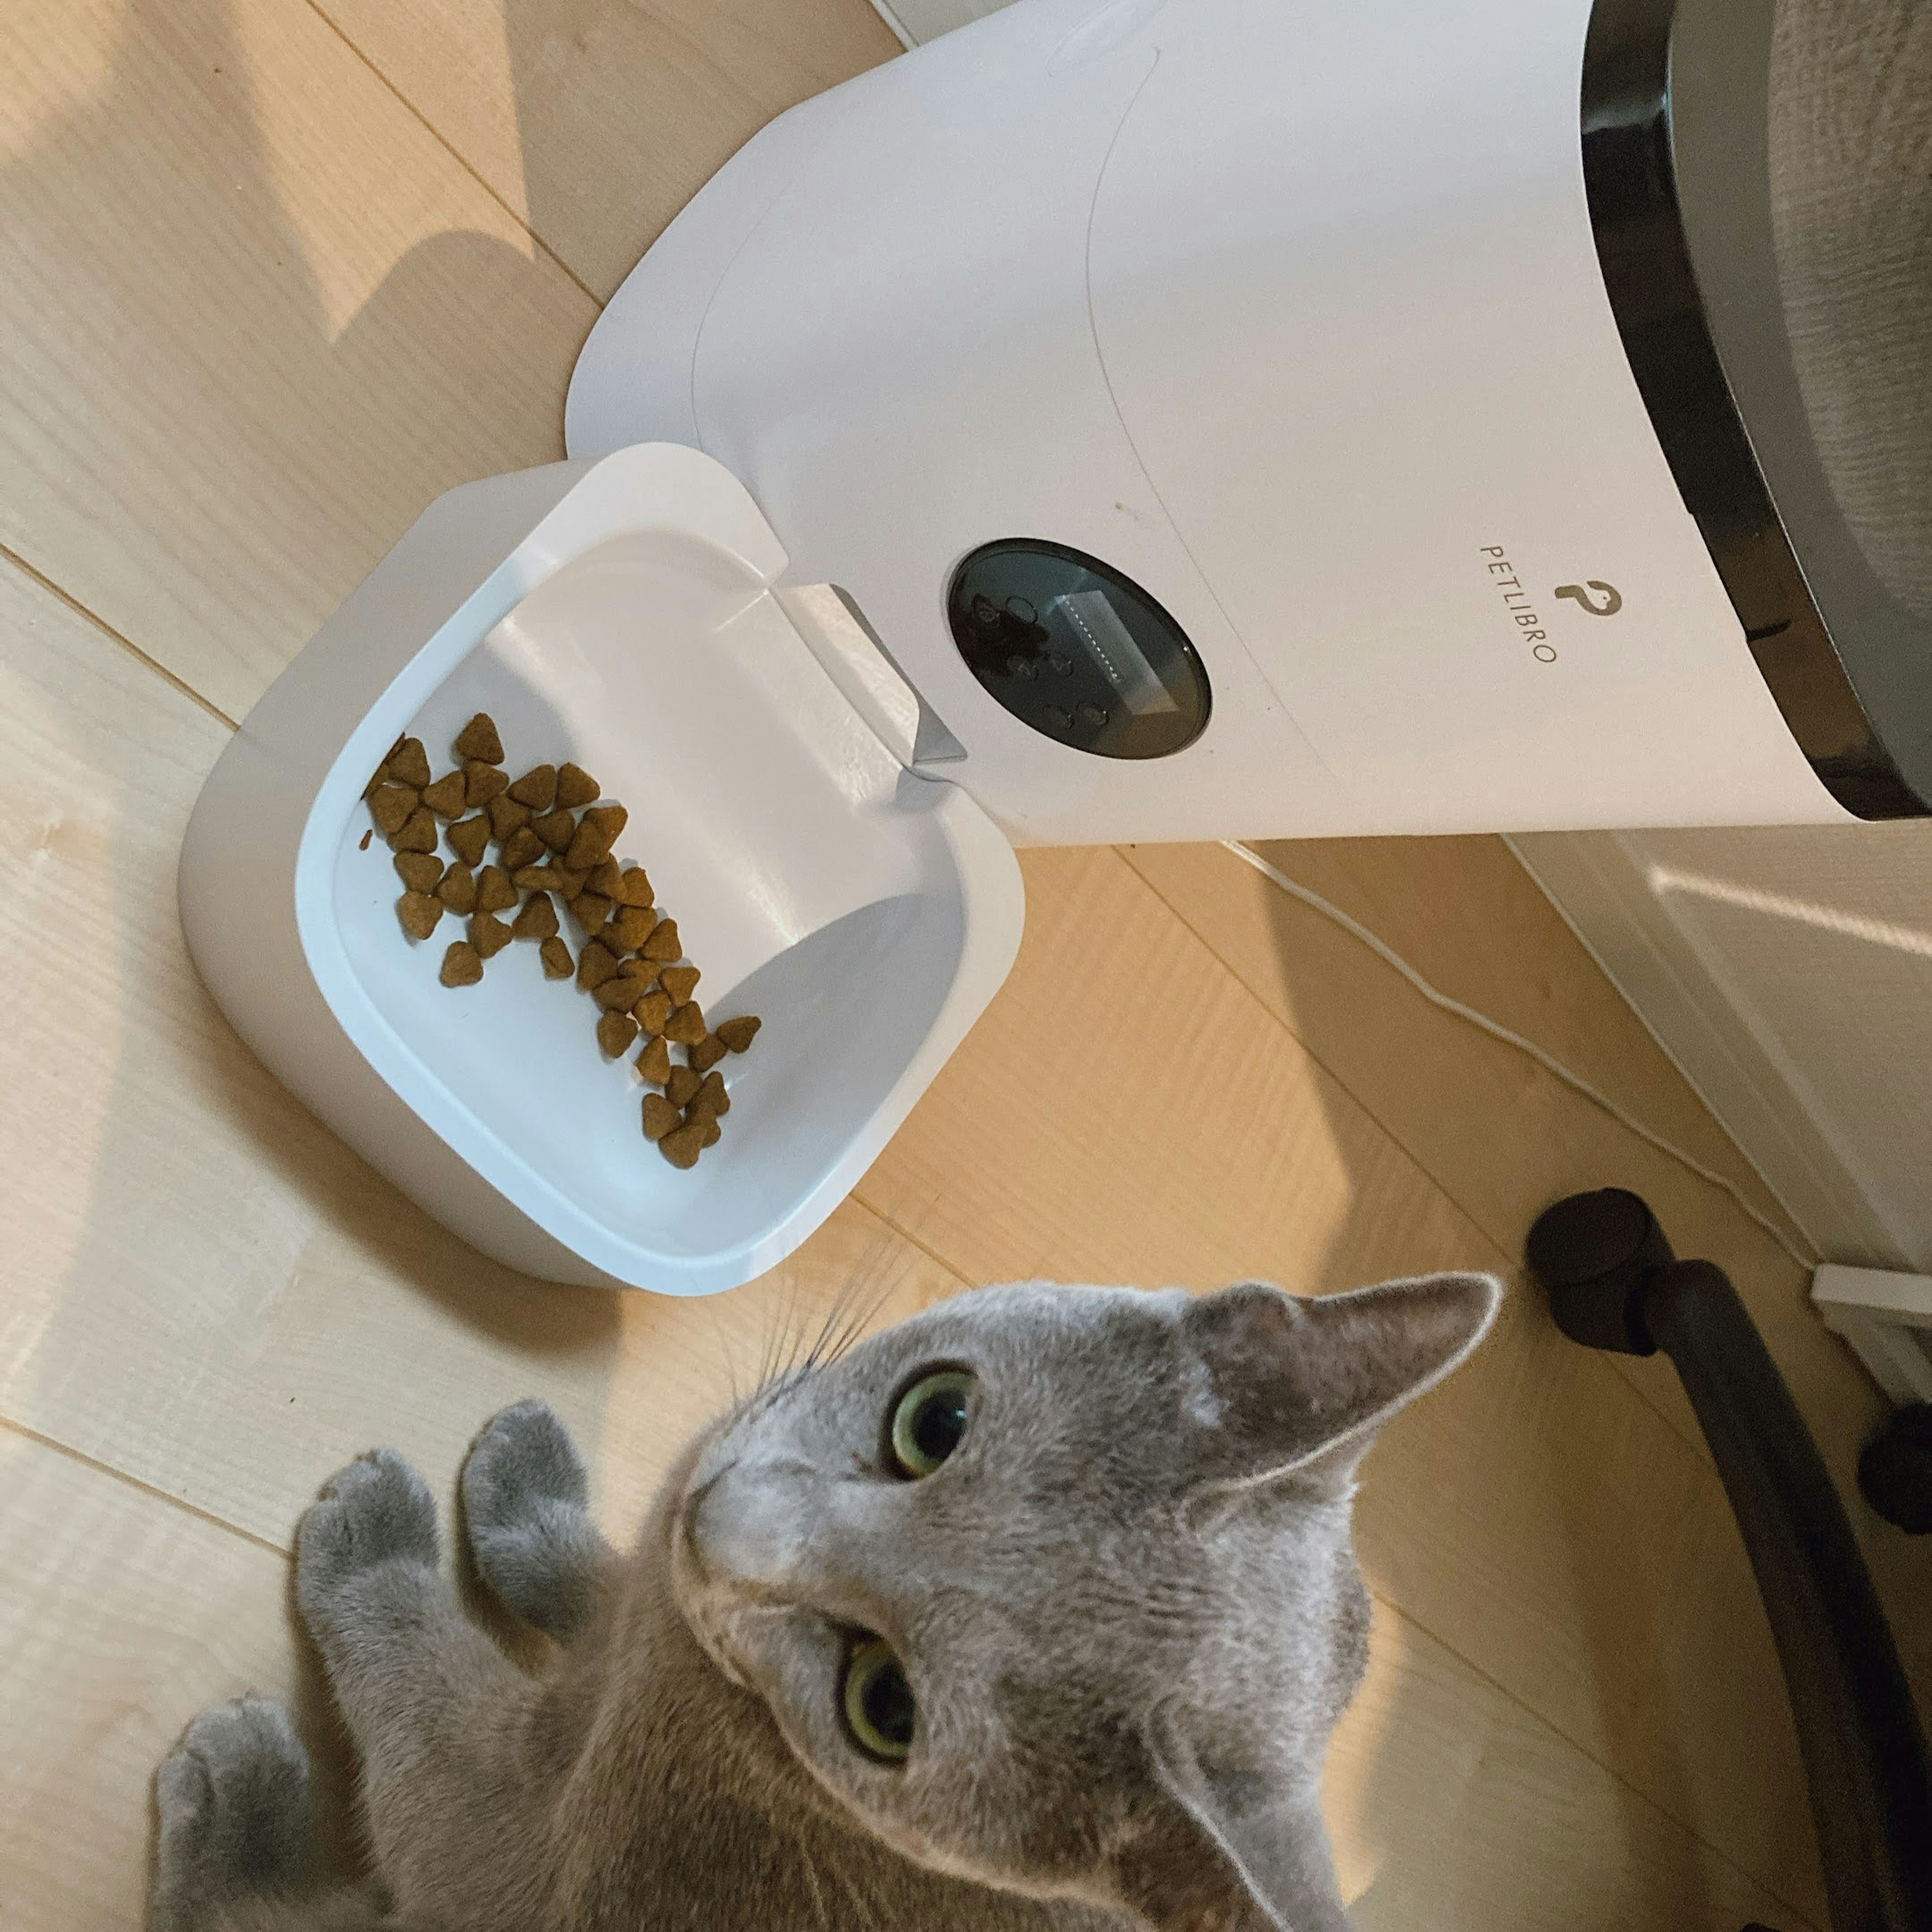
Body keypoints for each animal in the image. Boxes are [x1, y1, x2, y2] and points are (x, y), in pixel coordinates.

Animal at [158, 1267, 1499, 1932]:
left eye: (884, 1707)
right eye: (936, 1418)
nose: (718, 1522)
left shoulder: (521, 1864)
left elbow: (428, 1716)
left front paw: (380, 1538)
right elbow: (601, 1590)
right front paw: (531, 1489)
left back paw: (234, 1800)